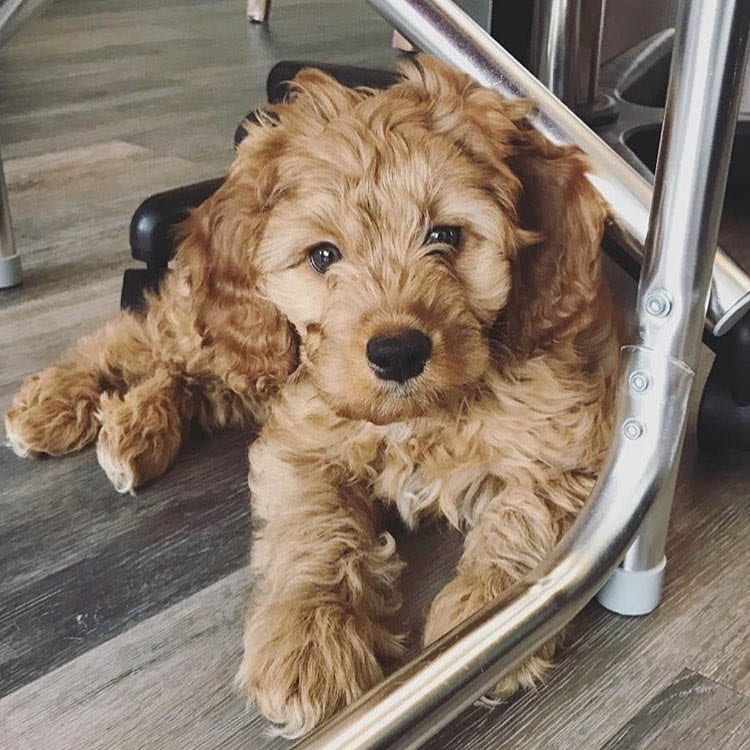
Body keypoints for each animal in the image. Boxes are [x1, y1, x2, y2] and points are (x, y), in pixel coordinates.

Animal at [4, 55, 616, 736]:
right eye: (323, 255)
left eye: (447, 235)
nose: (398, 352)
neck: (418, 418)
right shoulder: (302, 441)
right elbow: (315, 527)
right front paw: (309, 640)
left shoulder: (571, 444)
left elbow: (525, 515)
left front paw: (487, 615)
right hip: (230, 336)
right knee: (141, 336)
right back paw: (56, 401)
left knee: (185, 380)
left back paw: (137, 429)